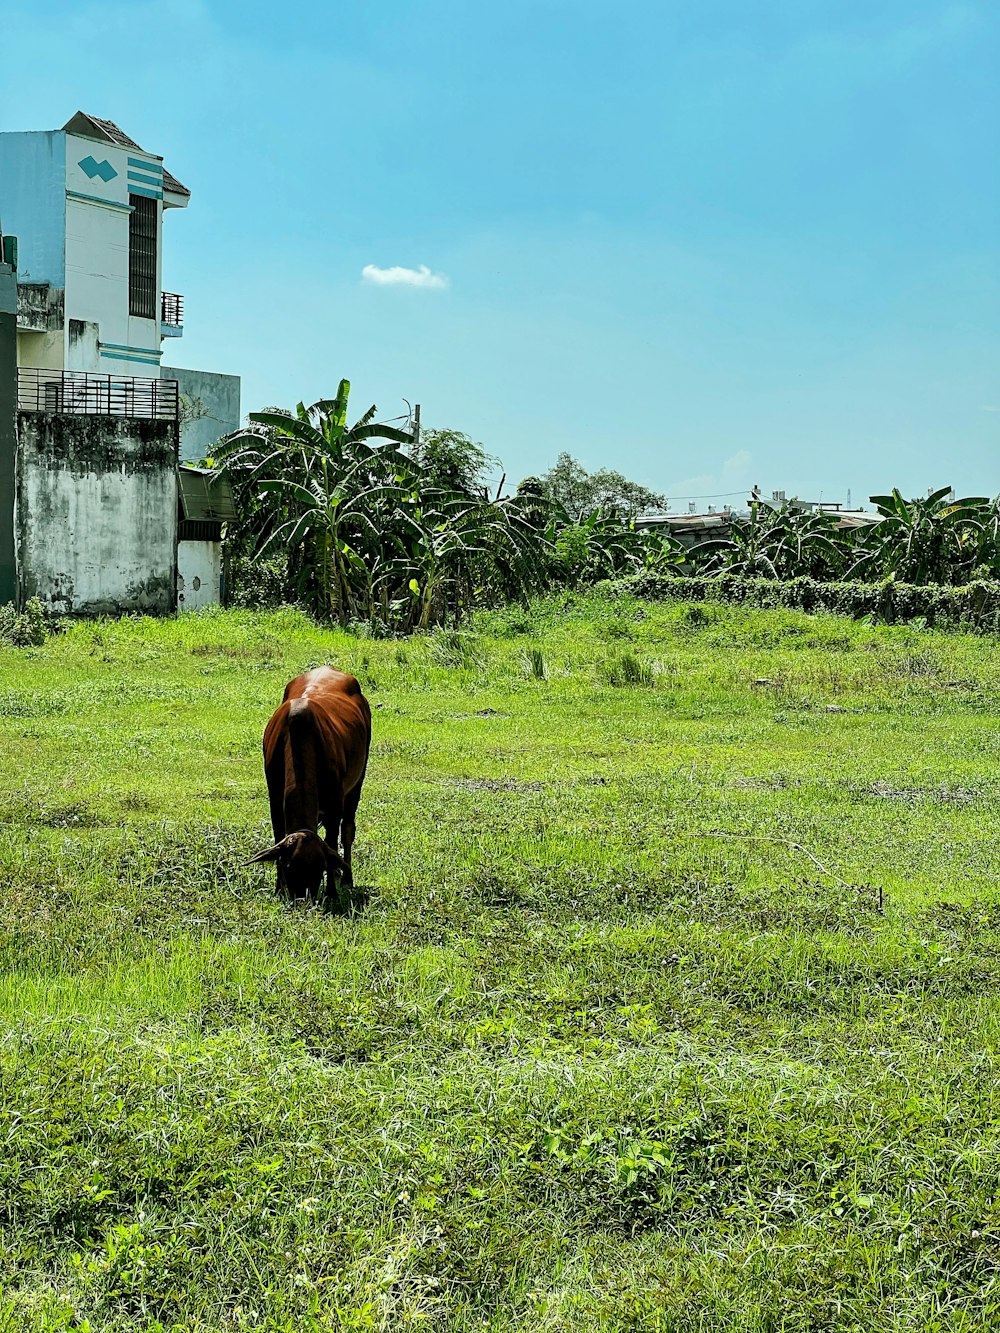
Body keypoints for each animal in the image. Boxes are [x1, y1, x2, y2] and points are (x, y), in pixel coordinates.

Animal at [249, 666, 373, 906]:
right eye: (289, 867)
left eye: (319, 868)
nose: (302, 900)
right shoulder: (275, 801)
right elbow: (278, 837)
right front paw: (278, 889)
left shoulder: (335, 804)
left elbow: (332, 842)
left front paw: (332, 892)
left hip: (357, 781)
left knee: (347, 830)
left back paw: (346, 877)